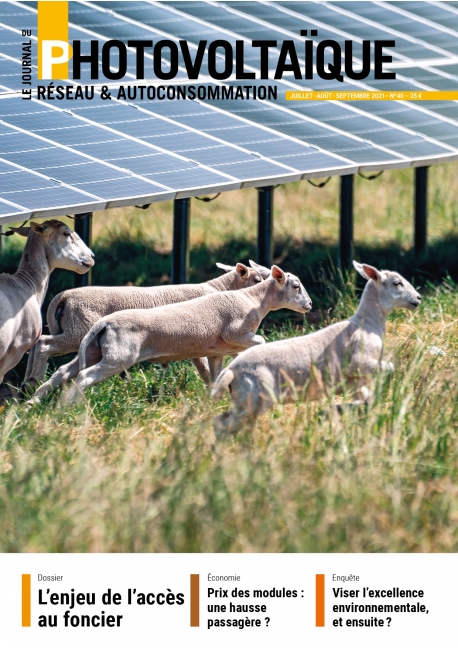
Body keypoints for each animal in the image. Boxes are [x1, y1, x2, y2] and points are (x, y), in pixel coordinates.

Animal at [24, 260, 268, 402]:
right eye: (257, 279)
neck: (219, 288)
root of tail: (62, 296)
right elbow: (207, 368)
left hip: (81, 339)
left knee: (53, 358)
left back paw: (32, 395)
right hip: (77, 332)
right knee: (44, 344)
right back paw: (34, 382)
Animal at [64, 266, 314, 402]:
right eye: (295, 286)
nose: (310, 304)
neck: (254, 300)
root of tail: (103, 323)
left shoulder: (216, 352)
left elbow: (215, 377)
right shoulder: (236, 332)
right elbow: (260, 341)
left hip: (96, 352)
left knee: (66, 372)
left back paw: (57, 405)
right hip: (119, 357)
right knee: (84, 376)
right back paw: (72, 406)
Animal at [213, 260, 420, 432]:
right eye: (397, 283)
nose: (418, 298)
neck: (368, 323)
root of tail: (231, 371)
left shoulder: (353, 381)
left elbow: (366, 398)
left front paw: (341, 409)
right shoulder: (360, 363)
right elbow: (389, 369)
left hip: (245, 400)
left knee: (222, 422)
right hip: (255, 398)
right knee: (226, 425)